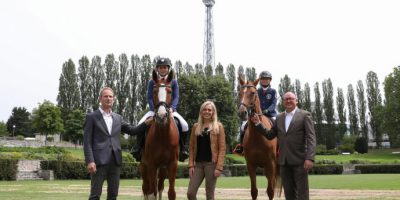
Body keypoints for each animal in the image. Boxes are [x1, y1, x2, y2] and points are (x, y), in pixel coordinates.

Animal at [140, 69, 179, 200]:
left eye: (170, 91)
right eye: (154, 91)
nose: (161, 116)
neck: (163, 135)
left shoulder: (172, 164)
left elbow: (171, 193)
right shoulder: (151, 164)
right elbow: (152, 192)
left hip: (162, 169)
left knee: (160, 186)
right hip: (144, 166)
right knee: (146, 188)